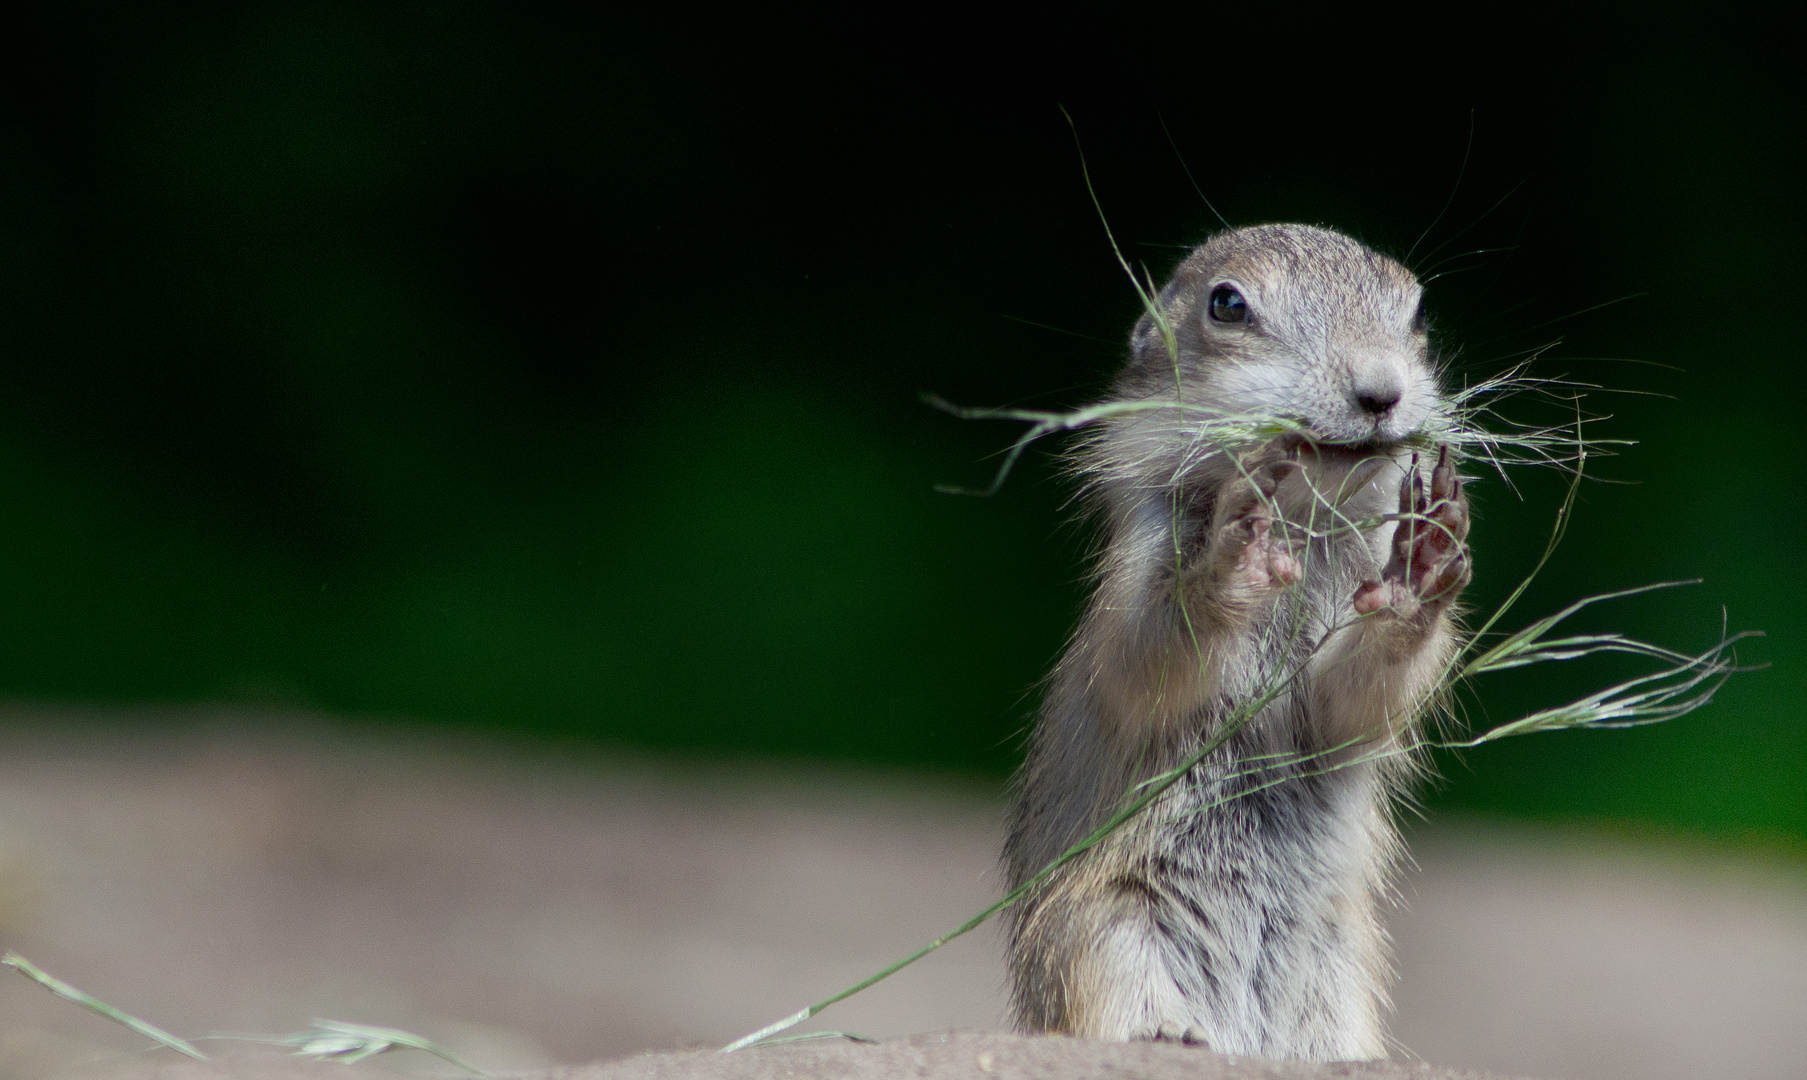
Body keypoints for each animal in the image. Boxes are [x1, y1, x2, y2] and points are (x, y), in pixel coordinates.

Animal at [1004, 222, 1467, 1069]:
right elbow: (1149, 650)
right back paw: (1172, 1032)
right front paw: (1236, 548)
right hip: (1102, 935)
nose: (1381, 393)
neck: (1304, 522)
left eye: (1417, 311)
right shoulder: (1138, 564)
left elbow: (1353, 701)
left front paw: (1423, 556)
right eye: (1227, 304)